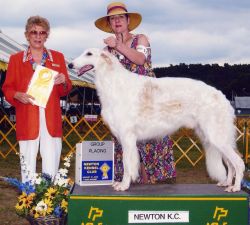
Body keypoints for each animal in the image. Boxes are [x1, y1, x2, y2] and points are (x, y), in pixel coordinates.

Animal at [69, 48, 245, 192]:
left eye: (89, 53)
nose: (70, 64)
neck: (113, 82)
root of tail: (222, 97)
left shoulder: (127, 137)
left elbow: (127, 164)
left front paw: (123, 185)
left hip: (216, 136)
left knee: (238, 163)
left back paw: (235, 187)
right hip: (213, 137)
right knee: (230, 164)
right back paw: (227, 183)